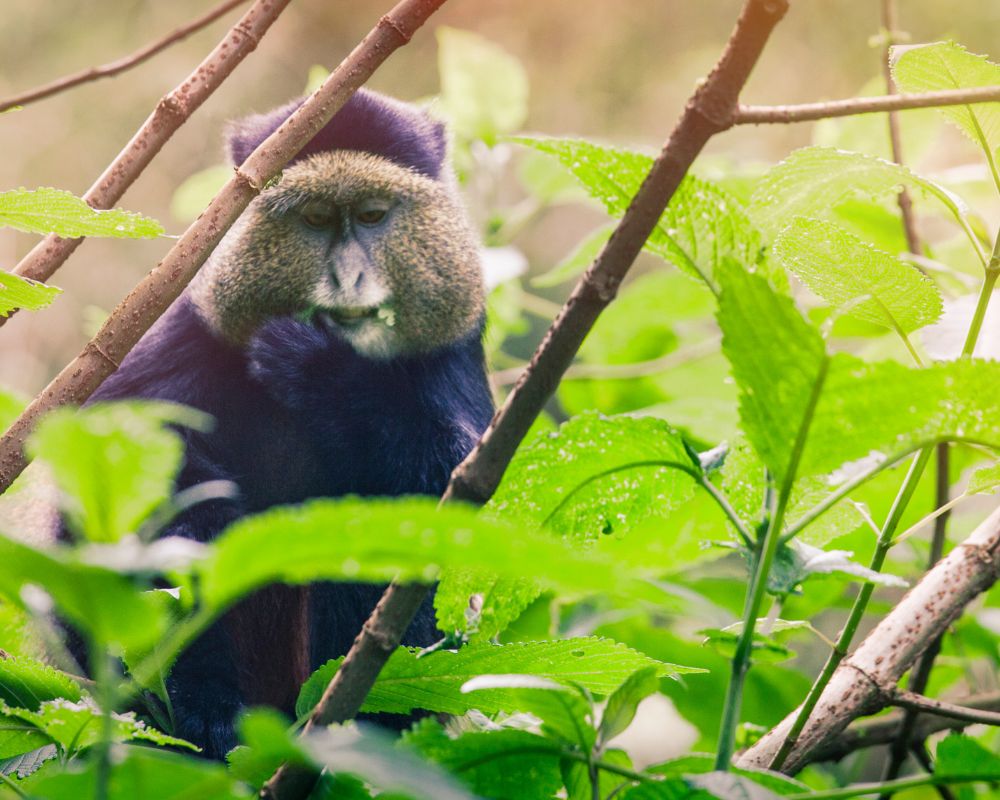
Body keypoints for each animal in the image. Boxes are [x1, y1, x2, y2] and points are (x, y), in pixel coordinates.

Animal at [65, 90, 495, 759]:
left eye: (372, 215)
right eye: (315, 218)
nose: (349, 279)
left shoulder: (457, 341)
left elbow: (466, 487)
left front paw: (325, 373)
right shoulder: (191, 326)